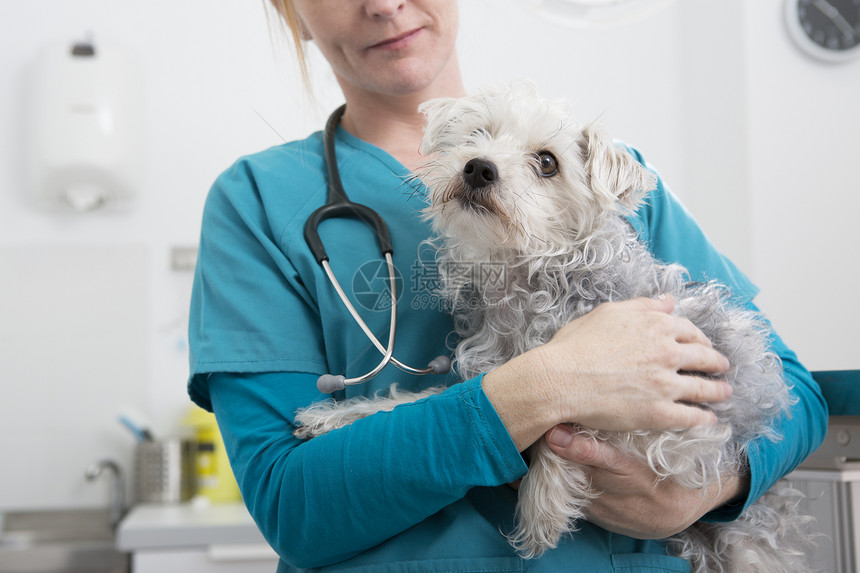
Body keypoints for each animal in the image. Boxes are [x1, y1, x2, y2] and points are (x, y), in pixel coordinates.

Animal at [294, 81, 812, 572]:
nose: (478, 168)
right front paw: (340, 415)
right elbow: (419, 400)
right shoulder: (491, 375)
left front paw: (542, 502)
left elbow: (576, 419)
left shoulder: (685, 421)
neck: (525, 274)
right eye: (479, 133)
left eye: (547, 162)